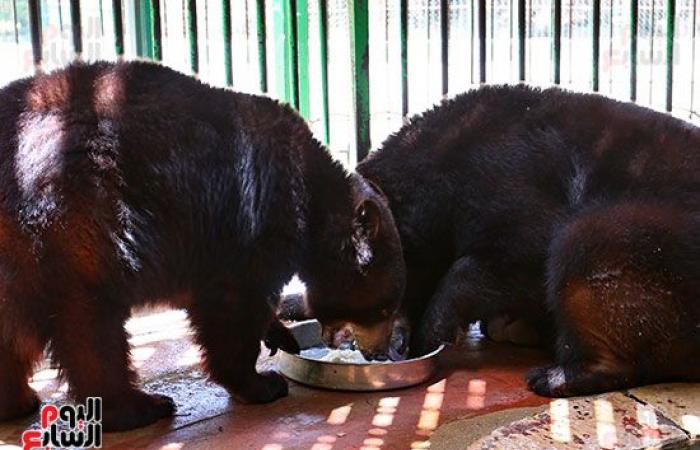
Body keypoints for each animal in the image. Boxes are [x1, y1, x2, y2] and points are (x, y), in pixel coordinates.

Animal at [0, 61, 404, 430]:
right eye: (384, 308)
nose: (381, 353)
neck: (313, 201)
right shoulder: (250, 221)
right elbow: (233, 305)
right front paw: (260, 382)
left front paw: (279, 334)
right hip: (79, 223)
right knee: (91, 325)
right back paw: (140, 406)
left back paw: (17, 399)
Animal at [358, 85, 700, 398]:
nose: (373, 352)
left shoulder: (506, 175)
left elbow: (517, 251)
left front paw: (429, 335)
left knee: (586, 242)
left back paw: (554, 376)